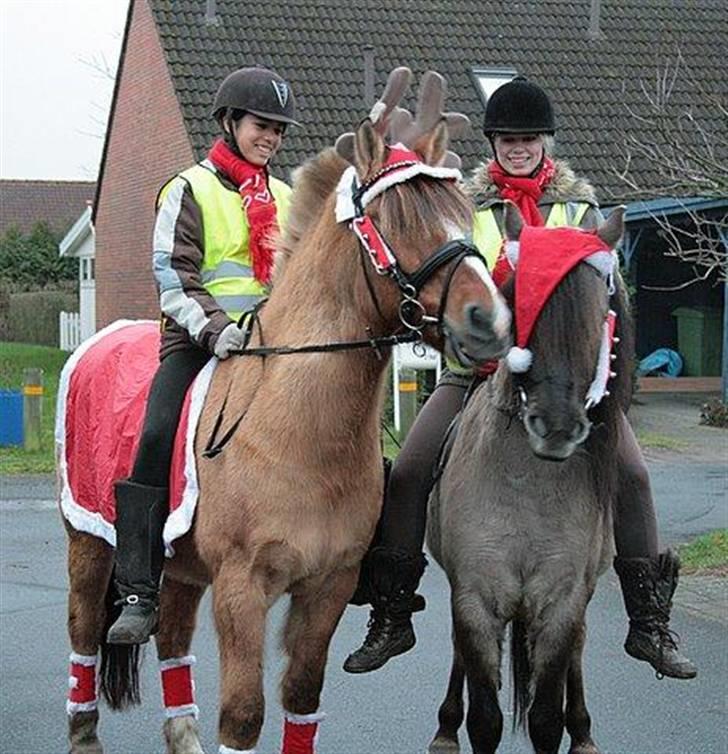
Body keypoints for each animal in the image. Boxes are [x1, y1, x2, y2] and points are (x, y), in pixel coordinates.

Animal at [59, 66, 510, 752]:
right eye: (397, 219)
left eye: (464, 214)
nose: (489, 322)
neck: (299, 436)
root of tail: (98, 340)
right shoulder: (242, 588)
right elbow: (244, 716)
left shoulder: (327, 587)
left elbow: (301, 697)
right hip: (88, 544)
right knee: (84, 642)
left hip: (182, 571)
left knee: (171, 642)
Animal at [426, 204, 632, 752]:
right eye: (520, 303)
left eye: (598, 313)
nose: (557, 426)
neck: (528, 485)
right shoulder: (474, 597)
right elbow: (485, 718)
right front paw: (458, 725)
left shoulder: (561, 602)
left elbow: (544, 718)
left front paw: (569, 725)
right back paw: (444, 728)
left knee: (578, 652)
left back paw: (584, 732)